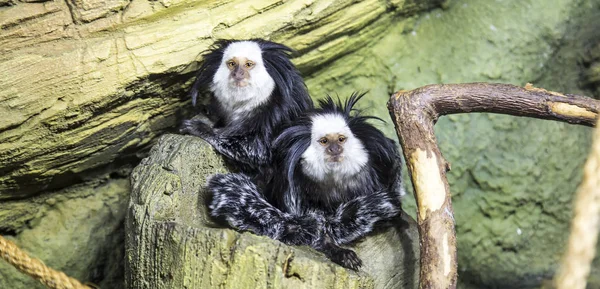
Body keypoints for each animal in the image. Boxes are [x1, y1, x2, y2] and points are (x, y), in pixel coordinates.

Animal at [180, 38, 314, 173]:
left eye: (248, 64)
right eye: (232, 64)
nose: (238, 74)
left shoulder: (279, 114)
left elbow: (258, 150)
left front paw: (201, 128)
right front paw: (208, 113)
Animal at [209, 93, 406, 270]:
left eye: (341, 139)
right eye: (324, 141)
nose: (335, 149)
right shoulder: (293, 184)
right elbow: (310, 225)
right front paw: (336, 249)